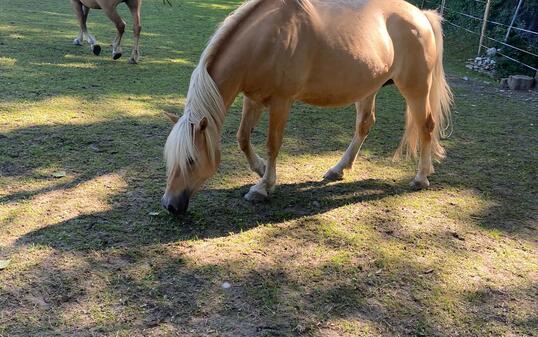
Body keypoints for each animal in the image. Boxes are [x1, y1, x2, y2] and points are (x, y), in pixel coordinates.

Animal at [161, 0, 450, 215]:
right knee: (364, 125)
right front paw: (261, 170)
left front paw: (262, 188)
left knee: (426, 126)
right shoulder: (253, 98)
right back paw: (338, 169)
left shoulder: (281, 102)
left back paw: (421, 177)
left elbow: (273, 145)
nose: (170, 205)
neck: (266, 39)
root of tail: (421, 16)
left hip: (415, 88)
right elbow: (243, 138)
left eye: (191, 159)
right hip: (369, 88)